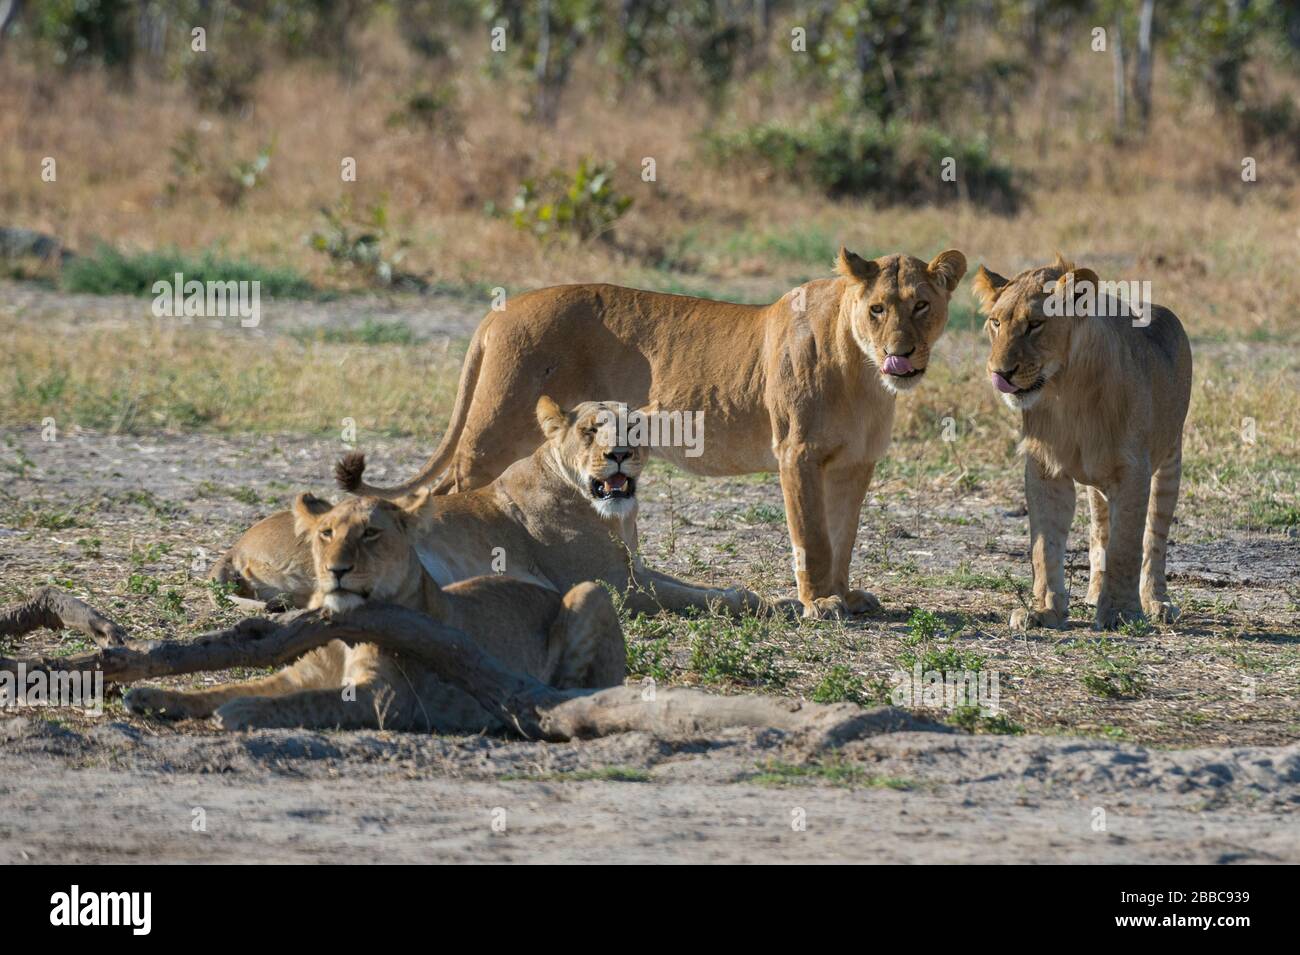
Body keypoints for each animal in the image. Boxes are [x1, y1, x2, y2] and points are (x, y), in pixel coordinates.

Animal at [125, 493, 624, 732]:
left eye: (370, 533)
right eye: (326, 532)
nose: (336, 570)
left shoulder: (384, 699)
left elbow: (304, 702)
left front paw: (243, 710)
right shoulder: (298, 675)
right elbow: (226, 686)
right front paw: (149, 695)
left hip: (589, 592)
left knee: (574, 687)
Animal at [202, 394, 769, 621]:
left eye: (633, 428)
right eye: (591, 431)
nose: (620, 454)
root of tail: (234, 545)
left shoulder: (634, 569)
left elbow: (697, 588)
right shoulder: (614, 584)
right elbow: (700, 598)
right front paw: (771, 604)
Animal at [335, 248, 967, 621]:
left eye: (922, 306)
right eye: (878, 309)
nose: (902, 352)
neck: (862, 371)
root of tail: (499, 312)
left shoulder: (855, 464)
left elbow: (843, 535)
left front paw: (846, 594)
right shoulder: (799, 454)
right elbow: (812, 537)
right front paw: (820, 602)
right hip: (494, 433)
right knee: (449, 493)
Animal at [977, 254, 1190, 631]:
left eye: (1035, 324)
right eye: (995, 322)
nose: (1000, 373)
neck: (1065, 389)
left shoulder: (1133, 470)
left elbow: (1127, 544)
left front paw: (1121, 612)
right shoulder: (1045, 467)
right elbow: (1045, 545)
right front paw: (1044, 610)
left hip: (1169, 460)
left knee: (1155, 537)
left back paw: (1156, 601)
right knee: (1100, 530)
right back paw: (1093, 594)